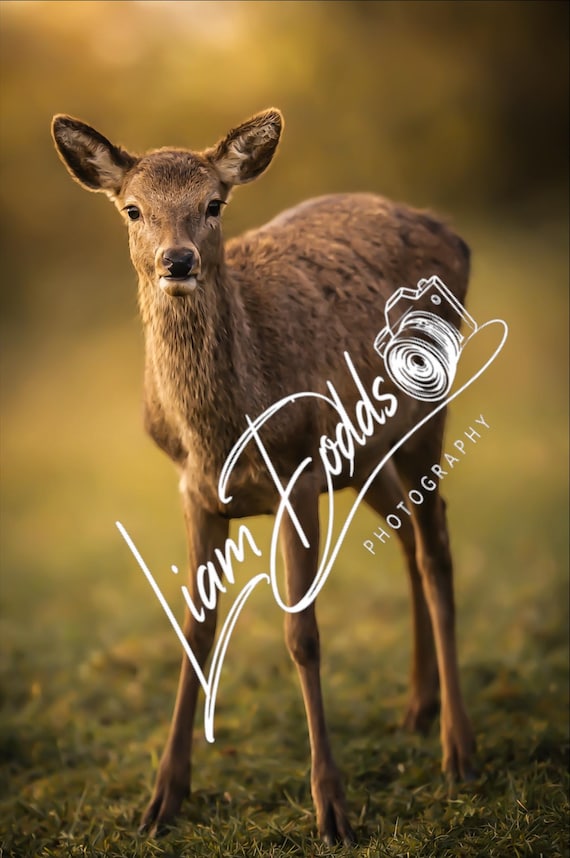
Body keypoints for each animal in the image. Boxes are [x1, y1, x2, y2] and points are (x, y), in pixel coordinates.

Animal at [51, 108, 476, 846]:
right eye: (132, 208)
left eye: (213, 204)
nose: (178, 261)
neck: (220, 436)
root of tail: (450, 231)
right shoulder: (195, 492)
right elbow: (195, 630)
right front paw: (162, 801)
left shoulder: (298, 474)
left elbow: (302, 636)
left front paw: (332, 809)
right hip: (362, 450)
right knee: (407, 533)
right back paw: (417, 709)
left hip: (426, 411)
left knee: (435, 545)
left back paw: (458, 748)